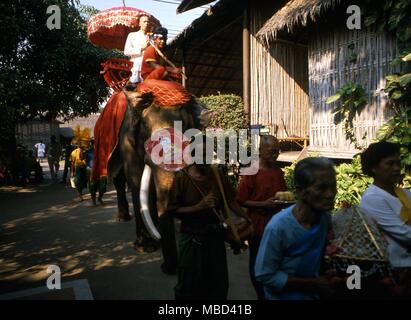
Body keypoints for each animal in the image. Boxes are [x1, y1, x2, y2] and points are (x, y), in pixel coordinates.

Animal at [108, 79, 209, 272]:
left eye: (184, 126)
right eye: (146, 127)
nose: (166, 268)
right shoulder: (127, 140)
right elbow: (136, 179)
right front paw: (146, 248)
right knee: (118, 180)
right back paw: (123, 218)